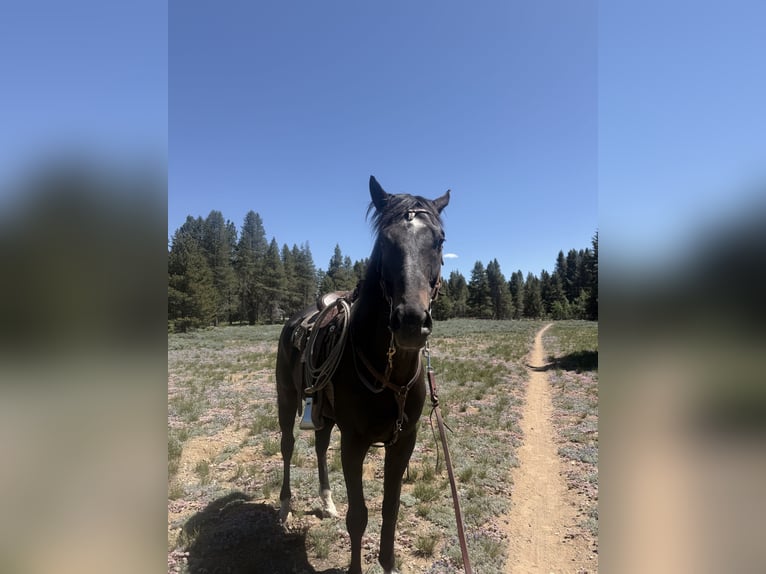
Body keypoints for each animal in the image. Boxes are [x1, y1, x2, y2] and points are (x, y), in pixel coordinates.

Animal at [275, 175, 450, 574]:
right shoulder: (354, 442)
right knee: (288, 445)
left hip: (322, 414)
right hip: (286, 398)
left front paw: (388, 563)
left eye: (440, 240)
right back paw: (285, 504)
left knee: (319, 445)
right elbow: (359, 516)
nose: (411, 322)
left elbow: (390, 510)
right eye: (384, 242)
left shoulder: (404, 441)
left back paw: (326, 501)